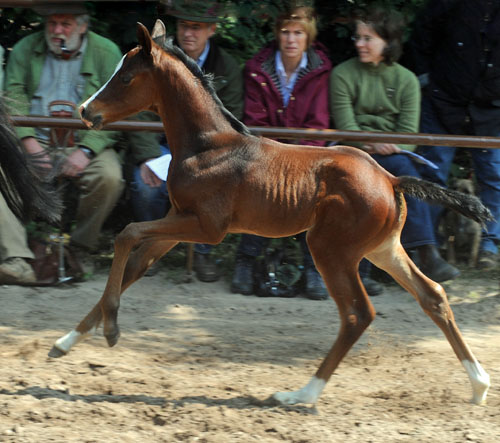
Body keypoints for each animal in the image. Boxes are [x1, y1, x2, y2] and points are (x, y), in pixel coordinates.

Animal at [48, 22, 490, 408]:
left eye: (125, 77)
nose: (85, 111)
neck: (208, 146)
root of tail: (390, 178)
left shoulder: (206, 228)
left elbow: (126, 232)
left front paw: (111, 331)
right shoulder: (177, 225)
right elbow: (134, 266)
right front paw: (65, 342)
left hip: (330, 249)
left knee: (357, 314)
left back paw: (300, 395)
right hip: (382, 249)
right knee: (432, 295)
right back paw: (479, 385)